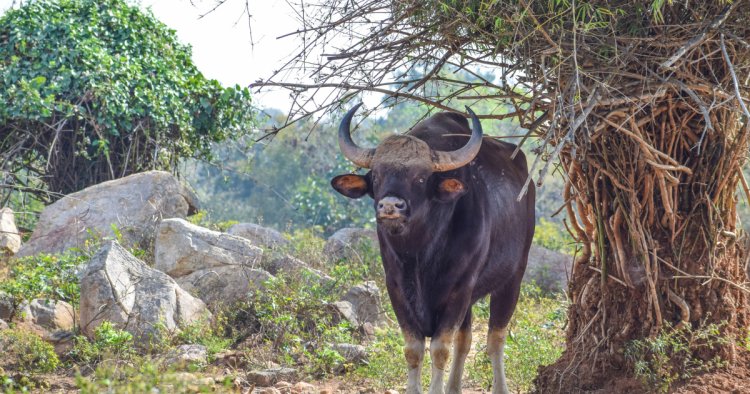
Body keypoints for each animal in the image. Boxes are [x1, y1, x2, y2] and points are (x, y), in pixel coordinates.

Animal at [332, 104, 536, 394]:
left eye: (420, 178)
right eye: (377, 175)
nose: (390, 206)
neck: (421, 253)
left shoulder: (460, 289)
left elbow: (440, 349)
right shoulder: (396, 288)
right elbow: (413, 349)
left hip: (512, 278)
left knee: (495, 339)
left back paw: (499, 387)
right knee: (465, 340)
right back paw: (454, 388)